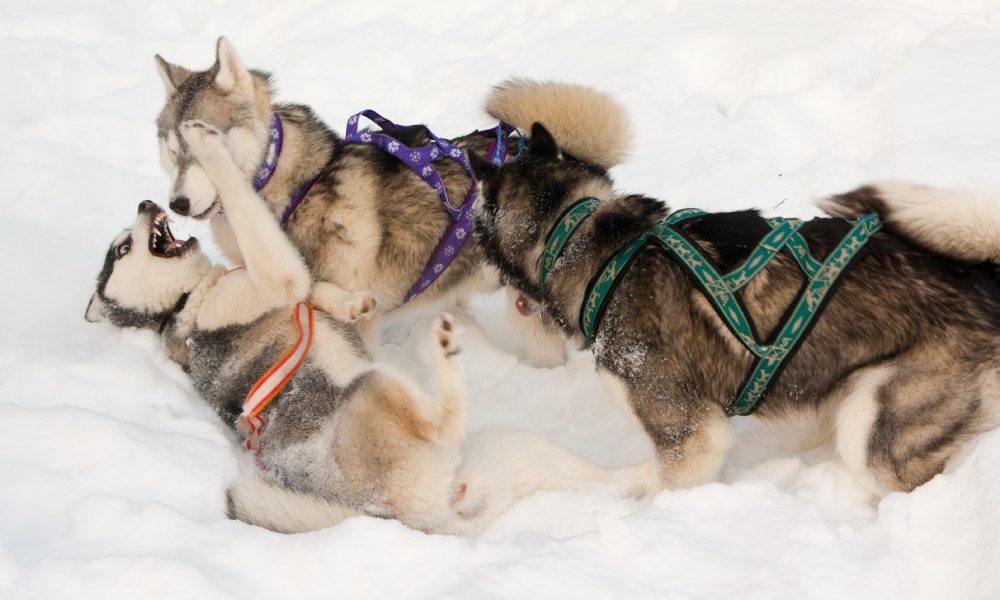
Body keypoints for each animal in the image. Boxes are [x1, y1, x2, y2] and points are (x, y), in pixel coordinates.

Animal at [84, 120, 648, 536]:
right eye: (122, 248)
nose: (146, 205)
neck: (189, 298)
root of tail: (421, 517)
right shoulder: (271, 279)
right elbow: (263, 233)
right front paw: (207, 141)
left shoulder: (284, 278)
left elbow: (319, 289)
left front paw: (352, 302)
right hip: (375, 389)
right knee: (442, 421)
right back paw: (444, 349)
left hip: (514, 452)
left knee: (600, 479)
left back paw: (640, 482)